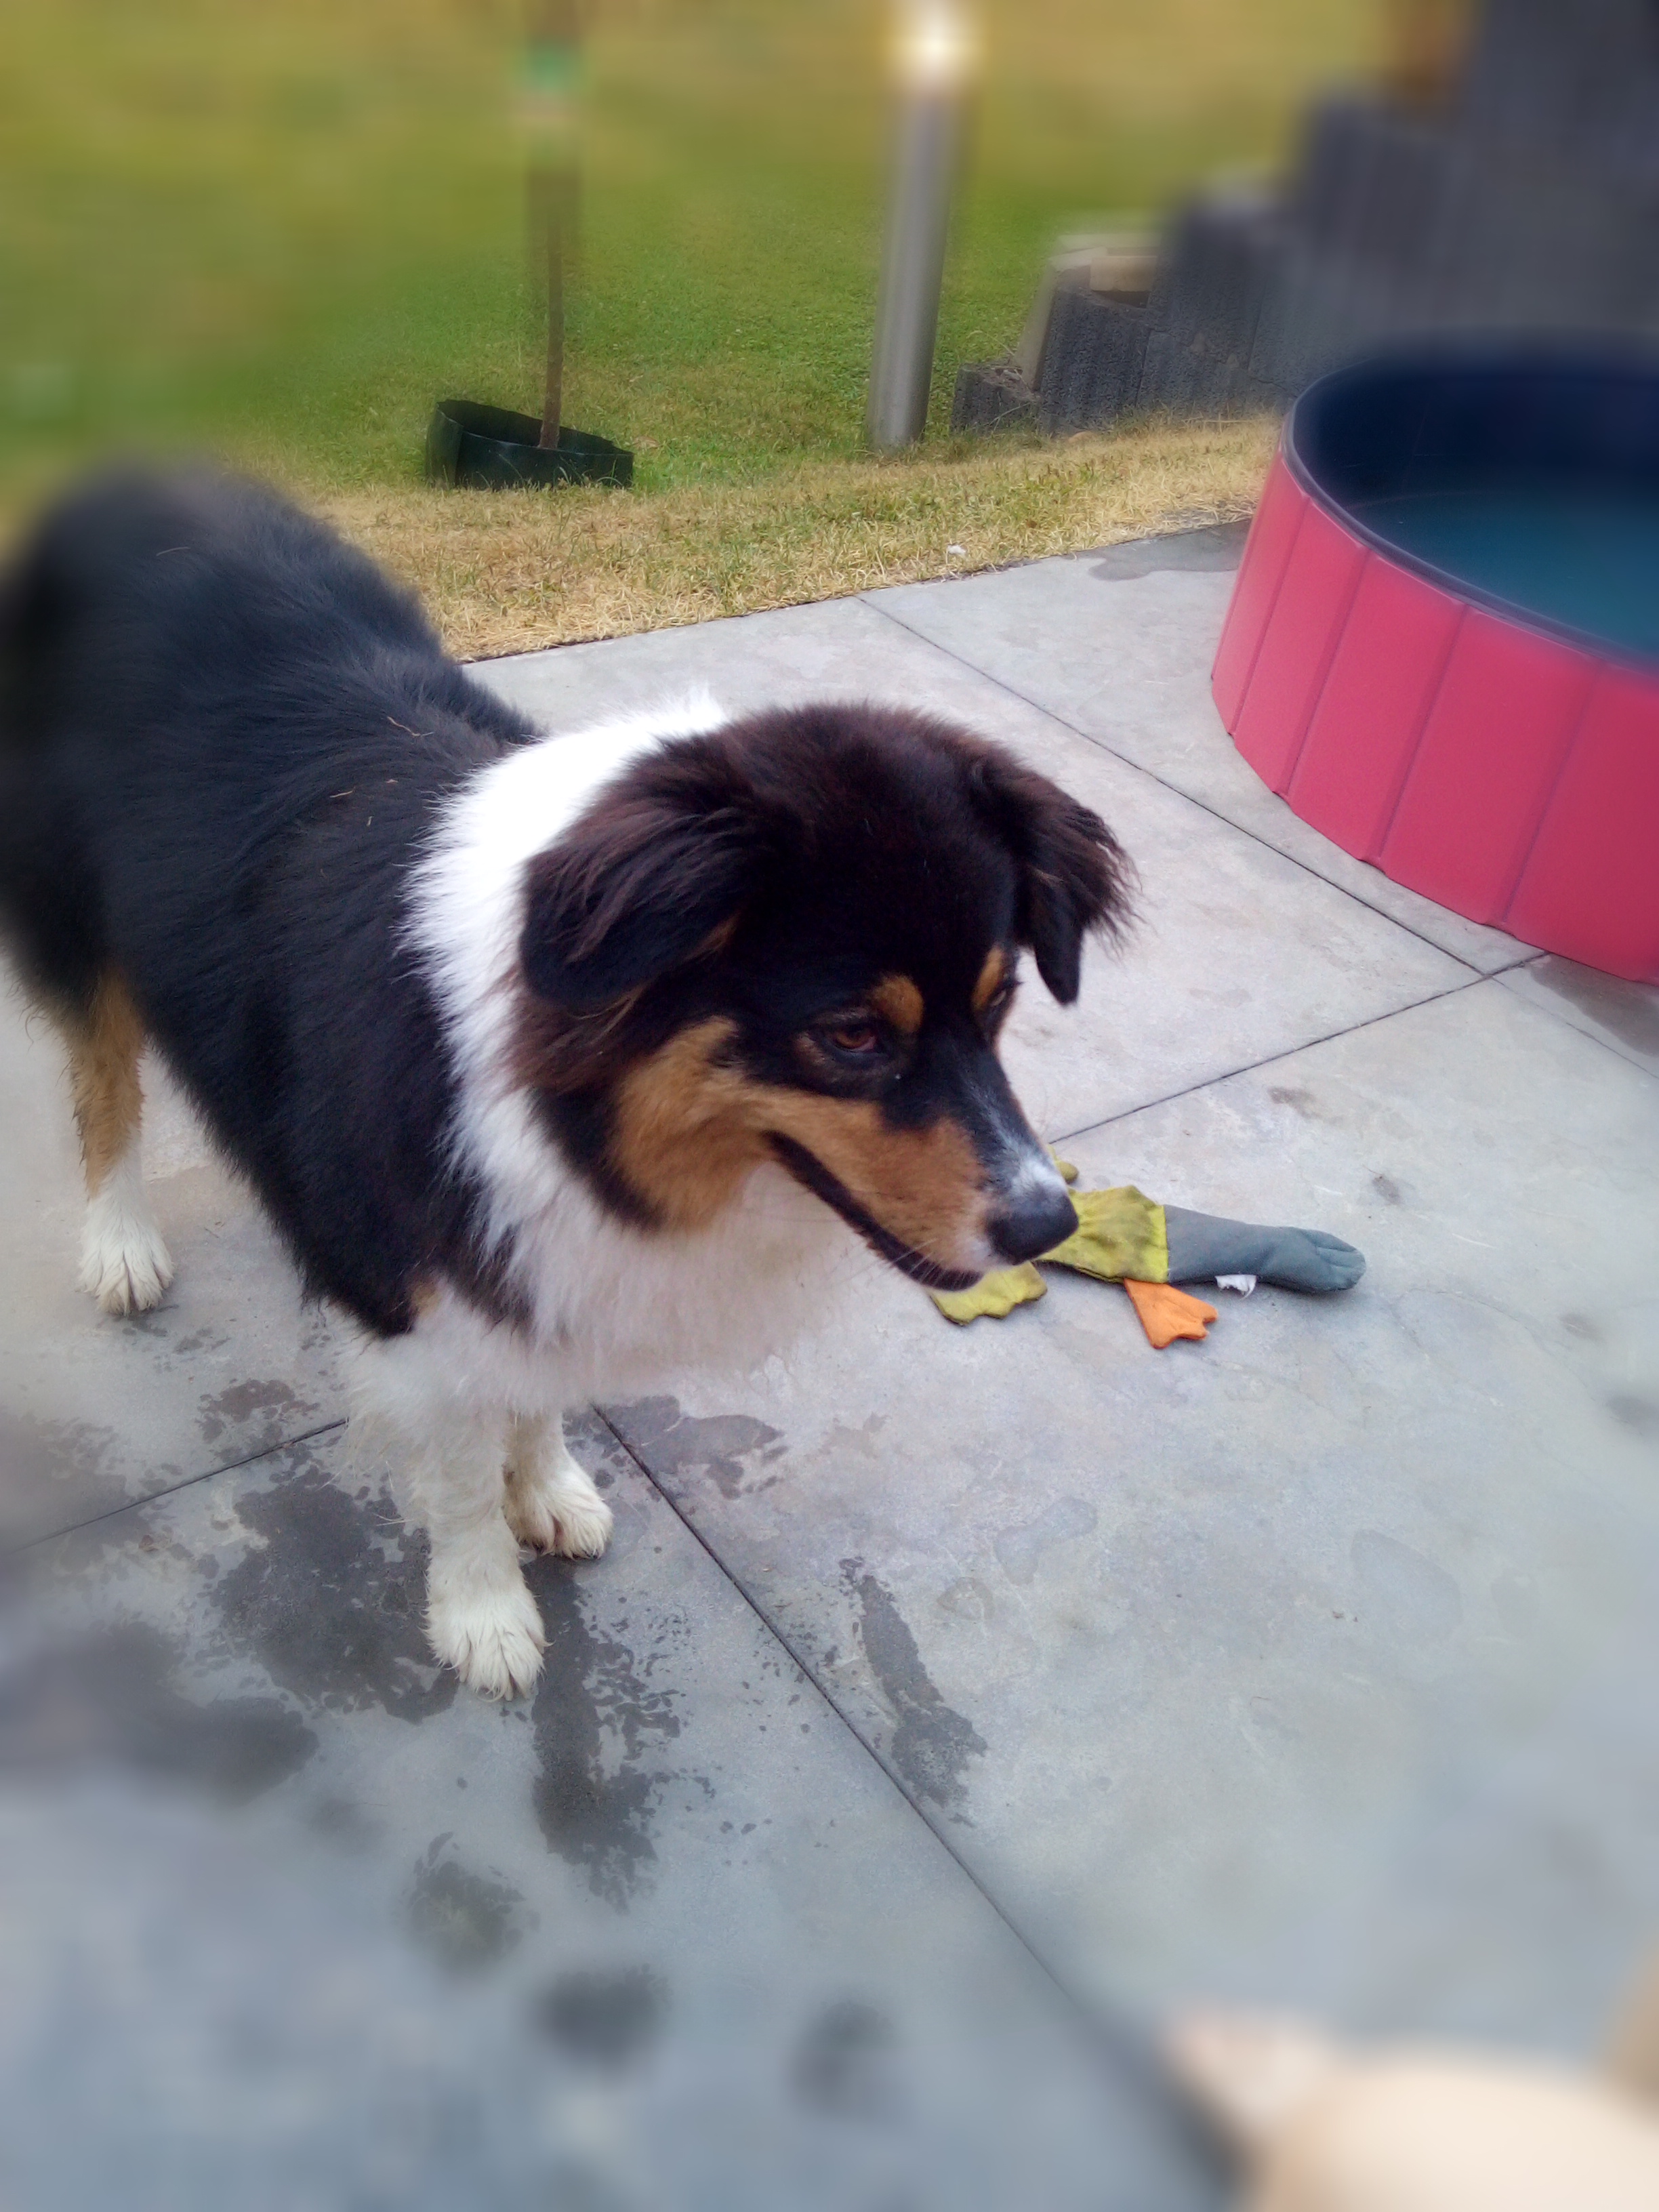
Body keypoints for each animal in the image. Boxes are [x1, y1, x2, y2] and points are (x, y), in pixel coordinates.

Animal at [0, 469, 1131, 1696]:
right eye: (850, 1035)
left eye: (1001, 999)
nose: (1048, 1223)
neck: (565, 1101)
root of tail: (118, 479)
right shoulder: (416, 1297)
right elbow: (454, 1464)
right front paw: (482, 1609)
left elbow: (535, 1389)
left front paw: (543, 1489)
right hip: (76, 919)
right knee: (102, 1079)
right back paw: (119, 1242)